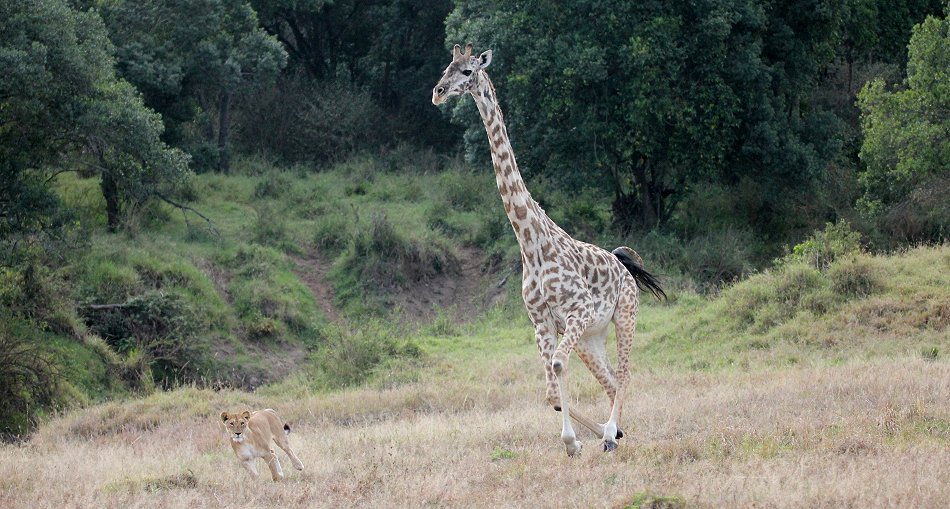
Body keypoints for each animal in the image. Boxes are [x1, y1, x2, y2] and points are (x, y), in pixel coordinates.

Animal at [436, 44, 664, 456]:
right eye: (445, 67)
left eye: (466, 71)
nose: (438, 92)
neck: (532, 244)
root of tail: (623, 264)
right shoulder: (541, 322)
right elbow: (550, 393)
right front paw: (576, 443)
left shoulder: (577, 310)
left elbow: (558, 368)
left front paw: (577, 440)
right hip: (591, 337)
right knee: (610, 379)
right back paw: (614, 433)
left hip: (624, 315)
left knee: (625, 373)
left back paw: (610, 432)